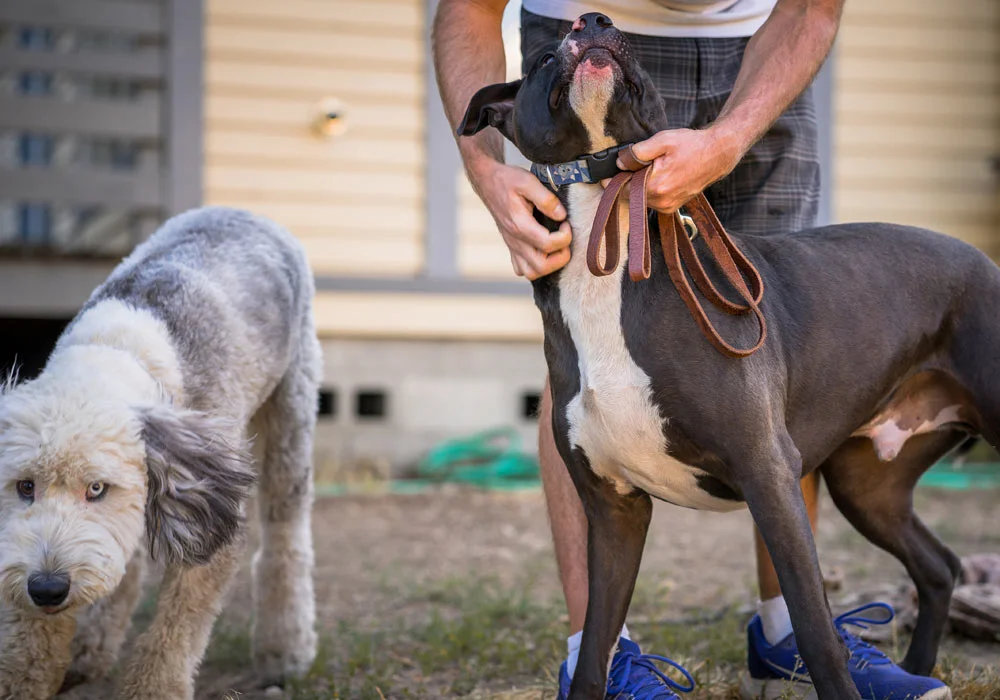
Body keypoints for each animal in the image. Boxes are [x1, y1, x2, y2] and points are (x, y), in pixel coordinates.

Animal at [460, 10, 992, 700]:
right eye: (546, 56)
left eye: (632, 52)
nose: (594, 19)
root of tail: (985, 261)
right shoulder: (614, 510)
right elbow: (598, 644)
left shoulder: (769, 474)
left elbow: (816, 630)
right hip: (869, 487)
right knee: (939, 565)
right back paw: (919, 669)